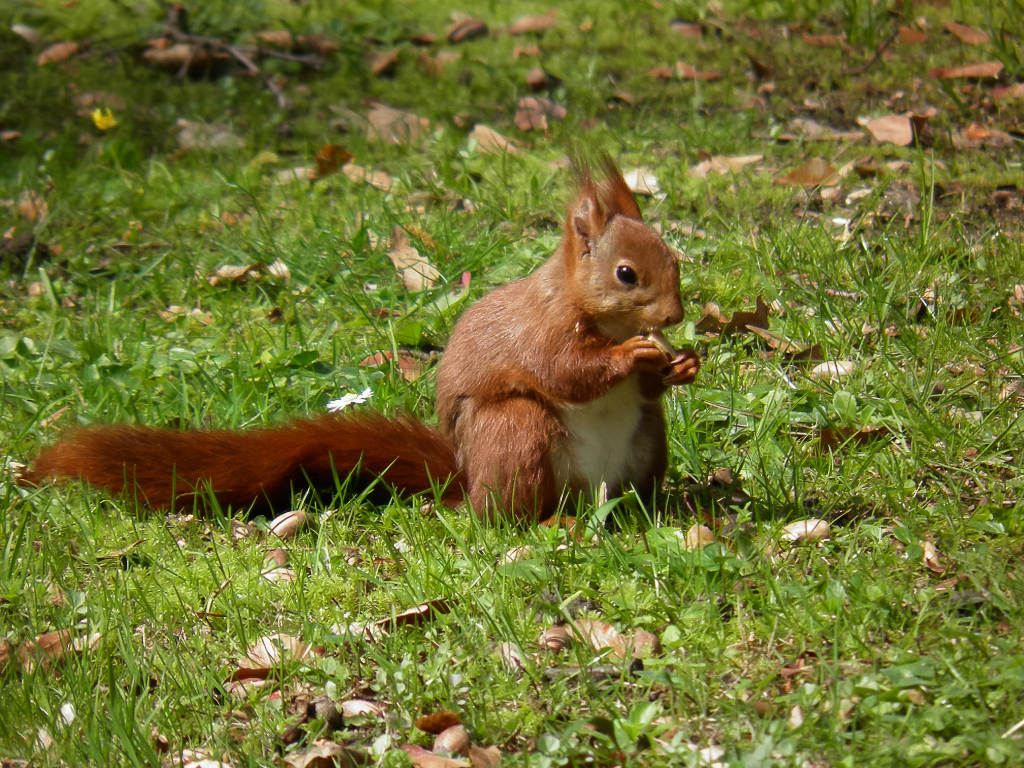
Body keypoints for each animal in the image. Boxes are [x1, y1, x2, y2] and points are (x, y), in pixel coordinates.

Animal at [25, 159, 696, 528]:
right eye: (626, 274)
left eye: (673, 260)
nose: (676, 314)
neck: (592, 310)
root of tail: (466, 481)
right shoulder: (543, 333)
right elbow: (565, 372)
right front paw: (632, 356)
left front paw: (681, 364)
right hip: (515, 432)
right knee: (509, 515)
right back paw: (550, 518)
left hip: (646, 445)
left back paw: (658, 511)